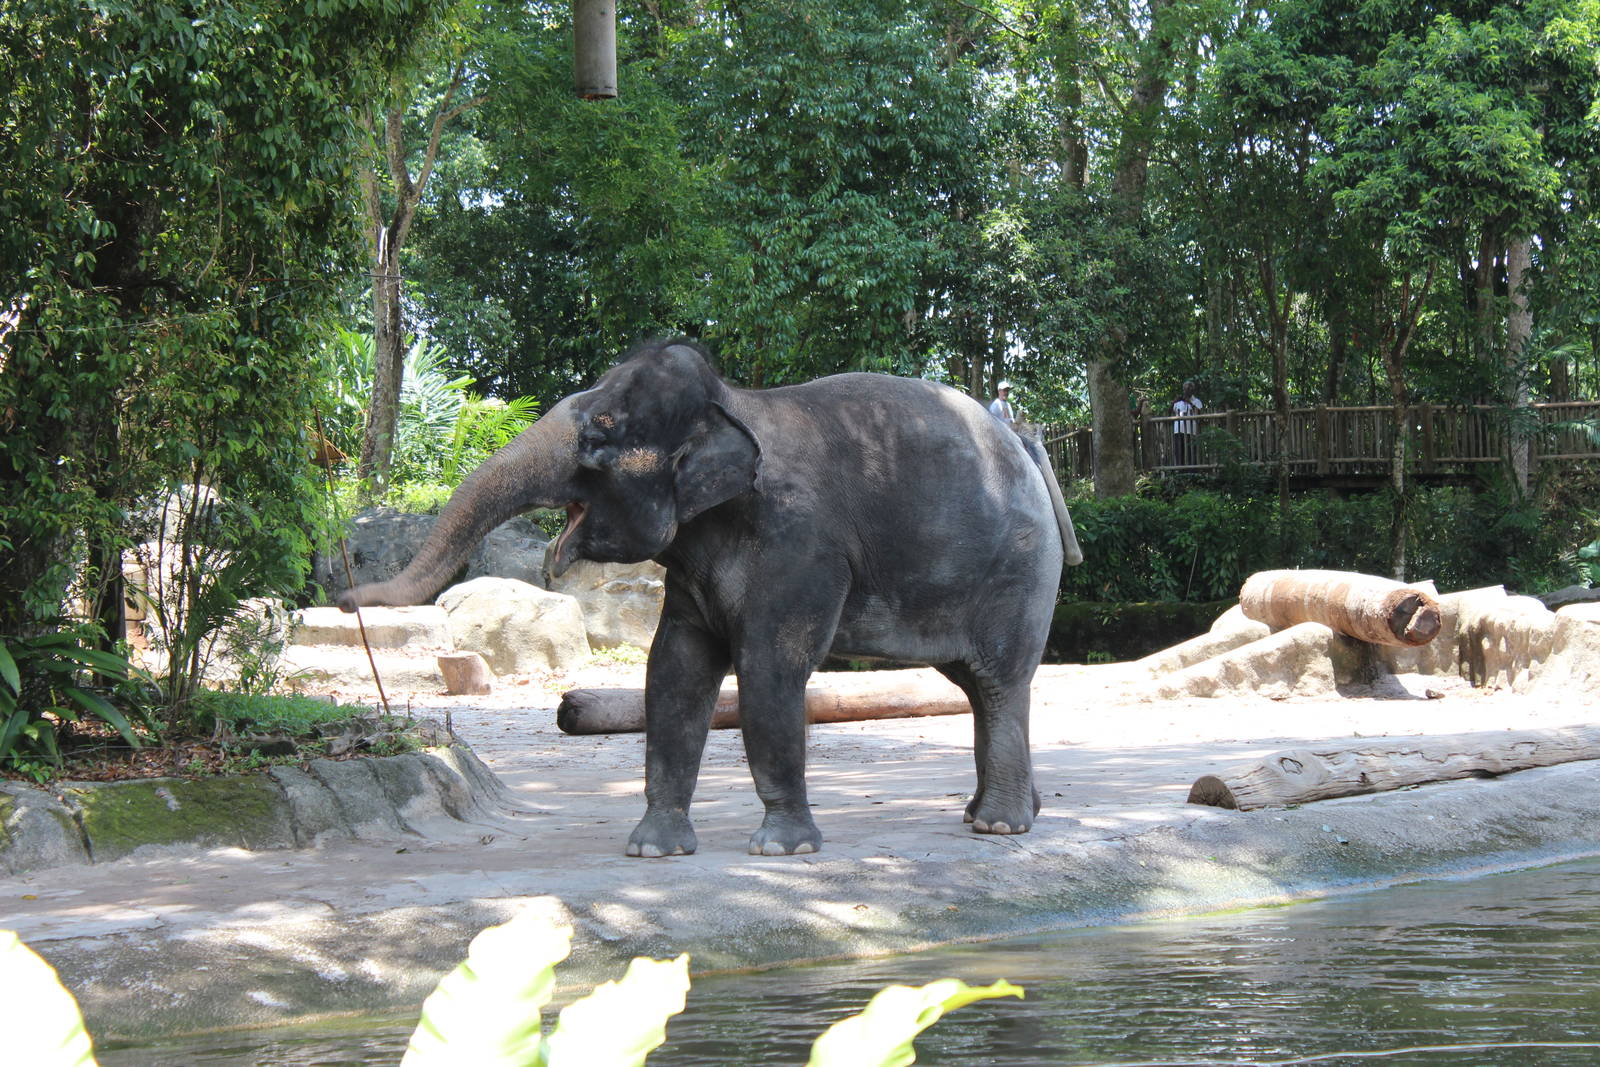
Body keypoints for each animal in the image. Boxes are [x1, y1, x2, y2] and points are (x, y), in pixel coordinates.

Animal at [338, 339, 1082, 857]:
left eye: (601, 430)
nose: (344, 593)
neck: (734, 403)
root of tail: (1023, 441)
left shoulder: (799, 544)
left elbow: (769, 669)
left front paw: (782, 849)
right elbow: (673, 669)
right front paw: (652, 849)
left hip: (1020, 571)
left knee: (999, 678)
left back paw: (999, 826)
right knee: (976, 686)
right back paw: (1000, 813)